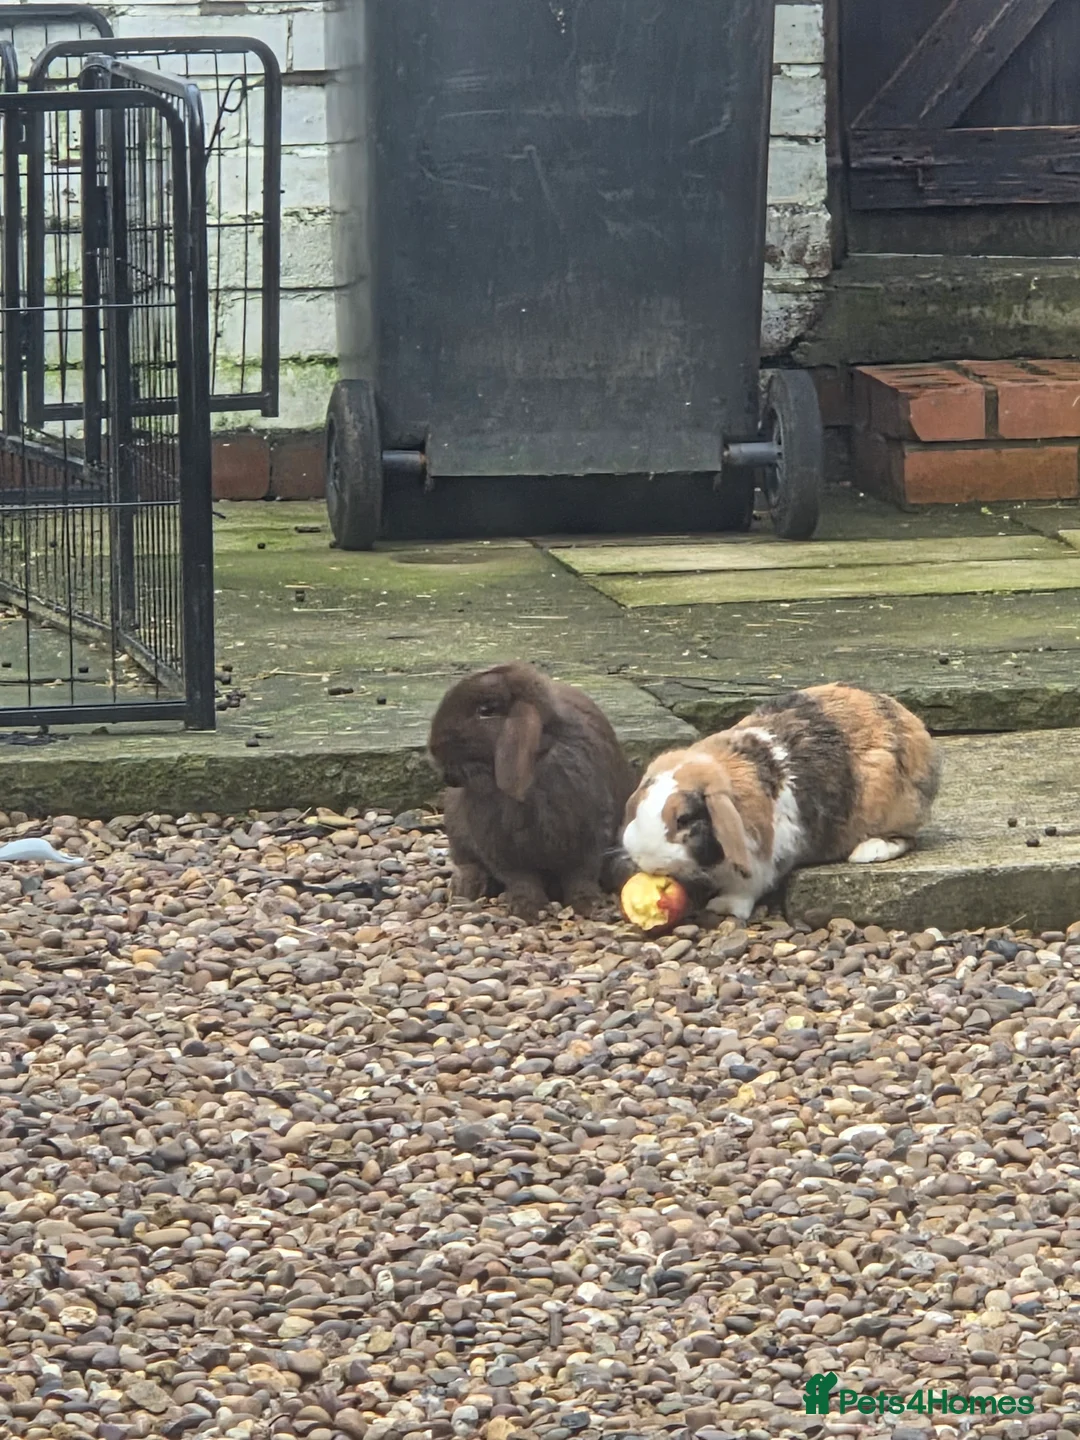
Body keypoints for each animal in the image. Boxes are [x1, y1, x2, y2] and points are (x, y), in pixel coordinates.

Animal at [428, 662, 638, 921]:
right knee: (468, 863)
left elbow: (581, 877)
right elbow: (522, 881)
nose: (433, 749)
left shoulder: (588, 839)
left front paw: (589, 906)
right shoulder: (501, 849)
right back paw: (467, 888)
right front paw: (528, 910)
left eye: (486, 709)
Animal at [620, 682, 941, 922]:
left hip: (895, 810)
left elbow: (746, 887)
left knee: (905, 839)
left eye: (684, 819)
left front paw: (722, 907)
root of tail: (913, 724)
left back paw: (868, 851)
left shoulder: (763, 858)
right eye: (640, 806)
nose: (644, 859)